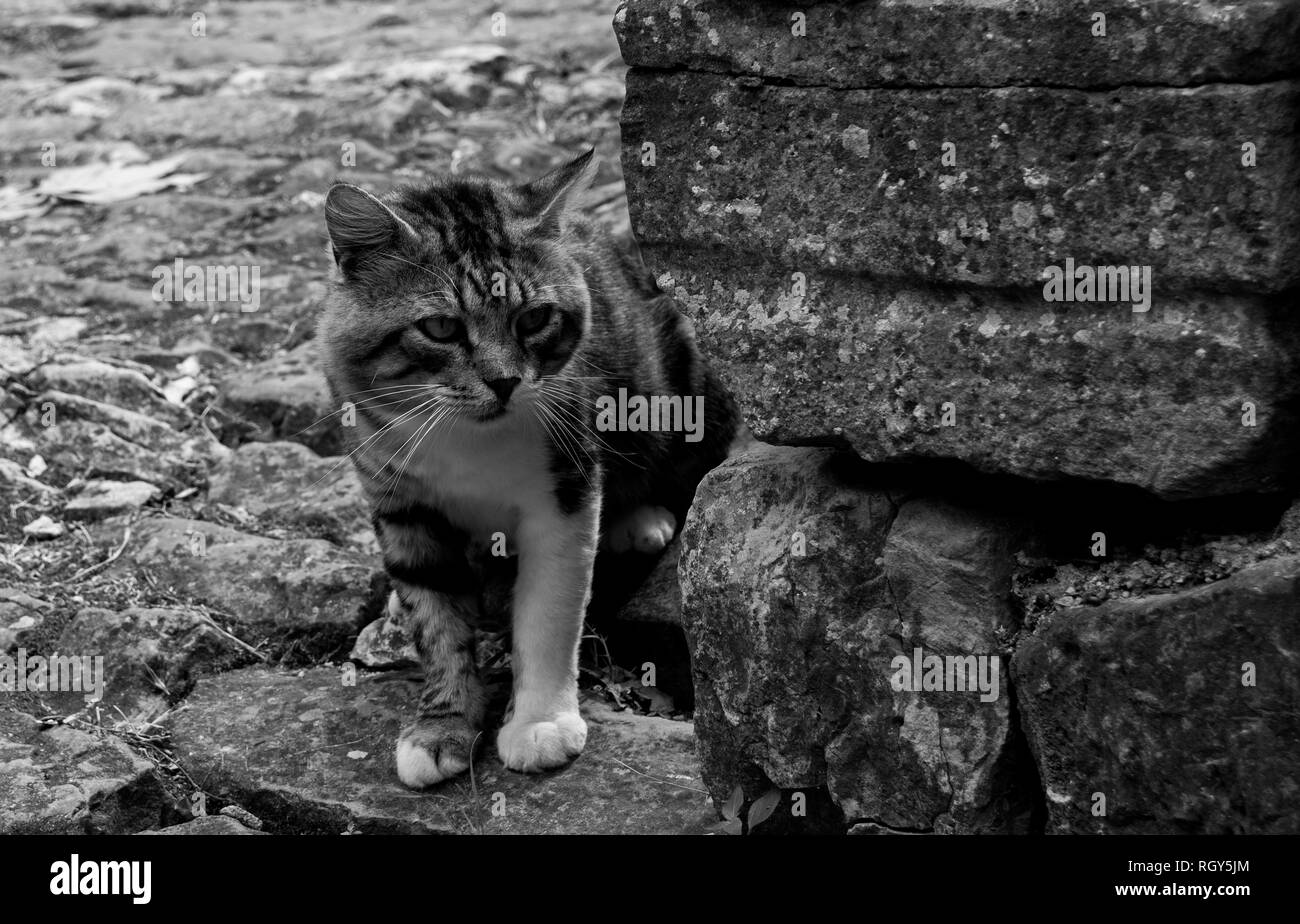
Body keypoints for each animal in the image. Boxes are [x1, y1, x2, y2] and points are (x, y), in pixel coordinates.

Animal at [318, 152, 738, 790]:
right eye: (440, 328)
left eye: (535, 318)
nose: (504, 382)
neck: (468, 435)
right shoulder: (398, 499)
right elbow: (436, 618)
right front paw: (440, 727)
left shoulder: (564, 486)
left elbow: (547, 609)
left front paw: (539, 724)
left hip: (681, 385)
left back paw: (642, 520)